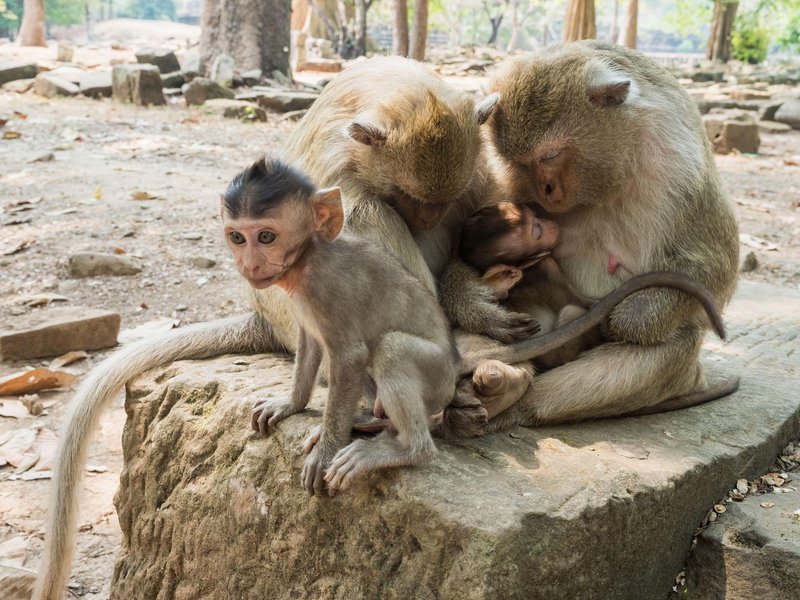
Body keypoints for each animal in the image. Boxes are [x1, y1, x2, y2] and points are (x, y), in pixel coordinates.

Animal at [454, 39, 740, 428]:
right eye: (521, 162)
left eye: (550, 155)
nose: (545, 190)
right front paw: (477, 306)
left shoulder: (681, 165)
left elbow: (716, 263)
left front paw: (628, 320)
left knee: (669, 348)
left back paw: (514, 399)